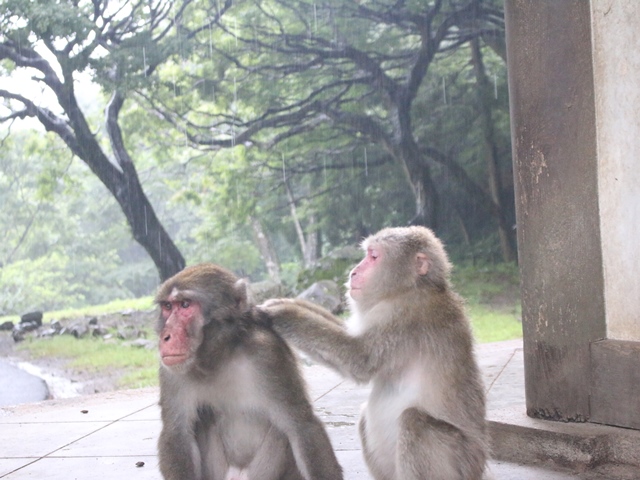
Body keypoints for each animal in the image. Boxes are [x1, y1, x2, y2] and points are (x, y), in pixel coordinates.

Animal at [154, 262, 342, 480]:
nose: (165, 336)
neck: (219, 357)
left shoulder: (267, 354)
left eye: (185, 305)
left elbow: (301, 427)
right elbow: (177, 434)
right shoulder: (170, 371)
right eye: (168, 307)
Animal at [258, 227, 488, 480]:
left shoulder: (406, 315)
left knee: (414, 422)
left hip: (460, 461)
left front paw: (283, 313)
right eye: (366, 254)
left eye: (374, 256)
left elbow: (359, 359)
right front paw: (284, 301)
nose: (353, 272)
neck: (408, 288)